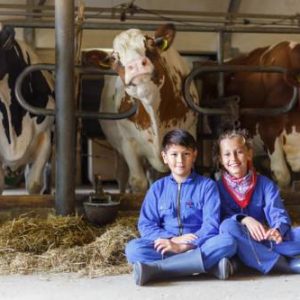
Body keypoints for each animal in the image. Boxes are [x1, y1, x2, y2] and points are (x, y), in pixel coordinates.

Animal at [83, 24, 198, 192]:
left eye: (150, 43)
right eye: (114, 58)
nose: (136, 65)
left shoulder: (189, 131)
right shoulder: (128, 143)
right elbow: (138, 182)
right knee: (122, 176)